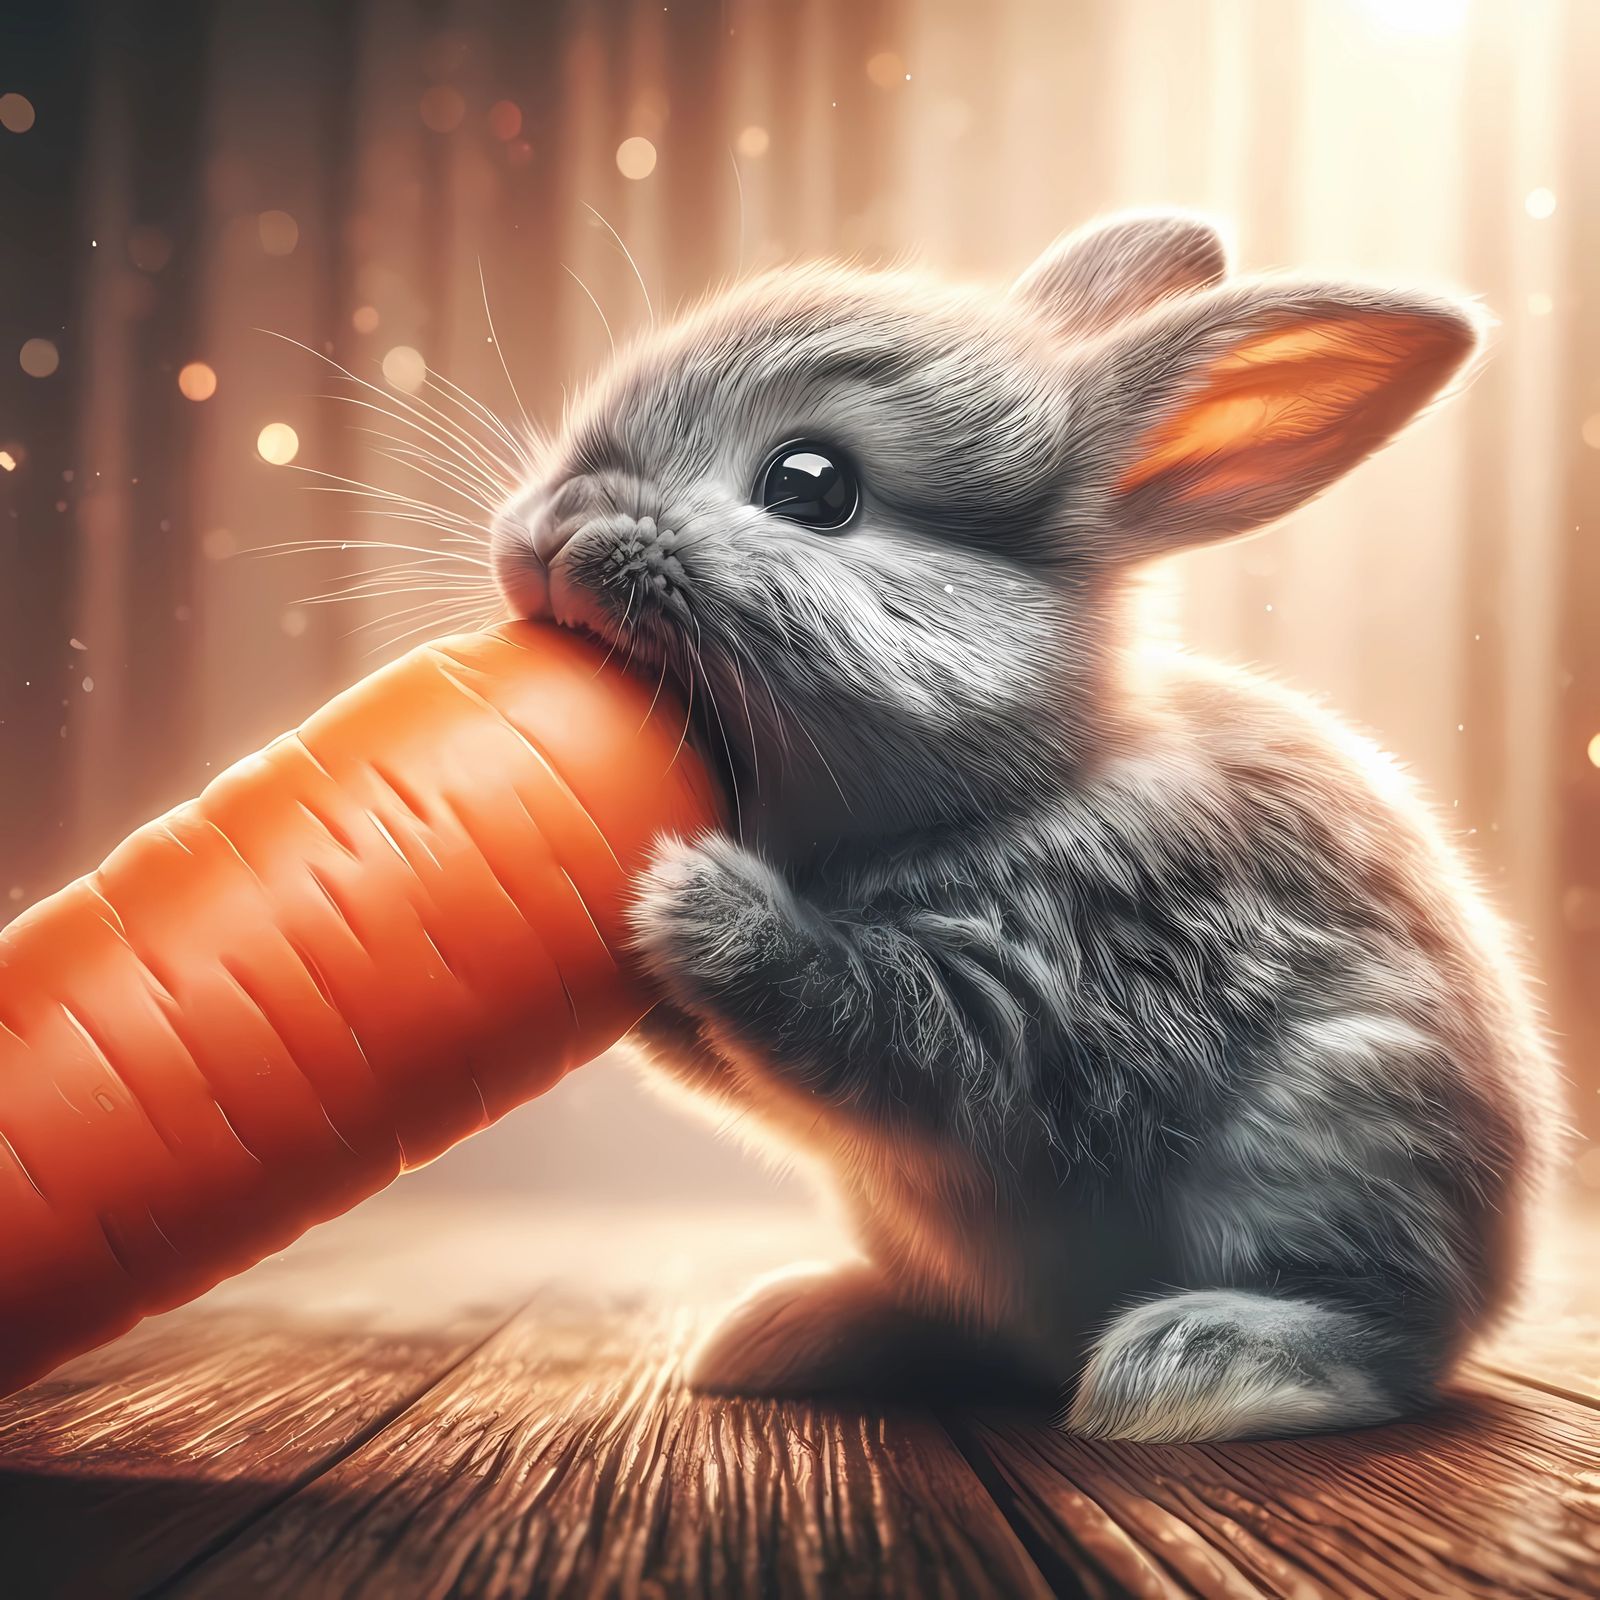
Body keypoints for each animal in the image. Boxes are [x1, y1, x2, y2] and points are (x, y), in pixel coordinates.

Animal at [491, 211, 1561, 1443]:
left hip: (1343, 1134)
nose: (551, 536)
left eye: (811, 485)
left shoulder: (1057, 982)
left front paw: (692, 898)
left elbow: (887, 1027)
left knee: (1386, 1344)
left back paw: (1193, 1371)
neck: (1014, 783)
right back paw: (781, 1330)